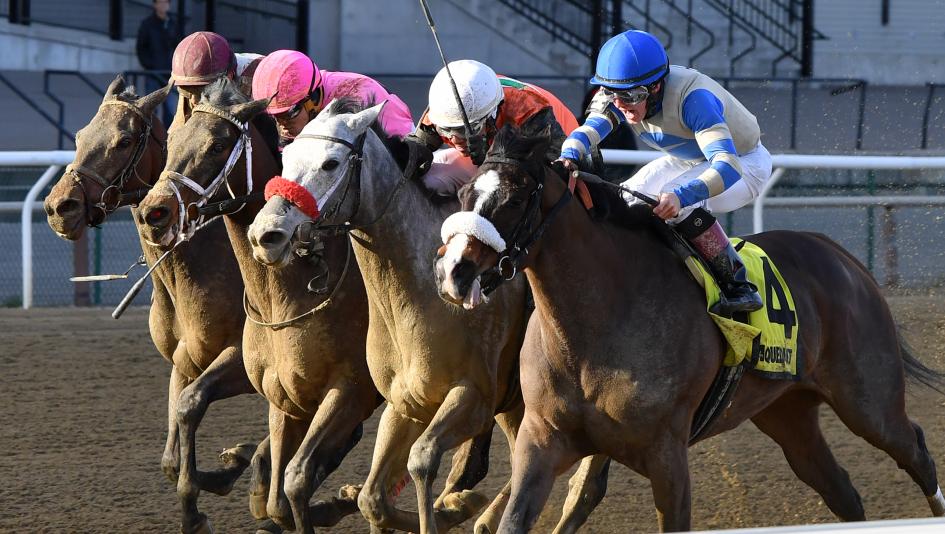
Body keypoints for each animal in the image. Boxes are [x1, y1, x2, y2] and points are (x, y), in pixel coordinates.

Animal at [43, 76, 258, 534]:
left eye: (124, 140)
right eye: (79, 136)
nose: (57, 207)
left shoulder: (242, 359)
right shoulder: (184, 362)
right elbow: (172, 456)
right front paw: (228, 466)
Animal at [134, 79, 503, 534]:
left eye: (218, 144)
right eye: (171, 139)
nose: (154, 211)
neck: (286, 294)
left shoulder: (349, 391)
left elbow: (295, 477)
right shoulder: (278, 391)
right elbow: (262, 478)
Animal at [246, 99, 611, 534]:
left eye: (331, 163)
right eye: (287, 157)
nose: (266, 234)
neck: (417, 299)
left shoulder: (472, 397)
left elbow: (421, 461)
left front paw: (456, 505)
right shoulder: (404, 403)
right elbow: (370, 497)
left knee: (583, 485)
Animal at [434, 123, 945, 532]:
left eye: (515, 198)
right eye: (463, 195)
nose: (453, 272)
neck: (594, 329)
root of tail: (841, 256)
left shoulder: (667, 455)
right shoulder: (543, 441)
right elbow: (515, 517)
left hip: (869, 400)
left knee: (915, 450)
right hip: (789, 414)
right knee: (843, 493)